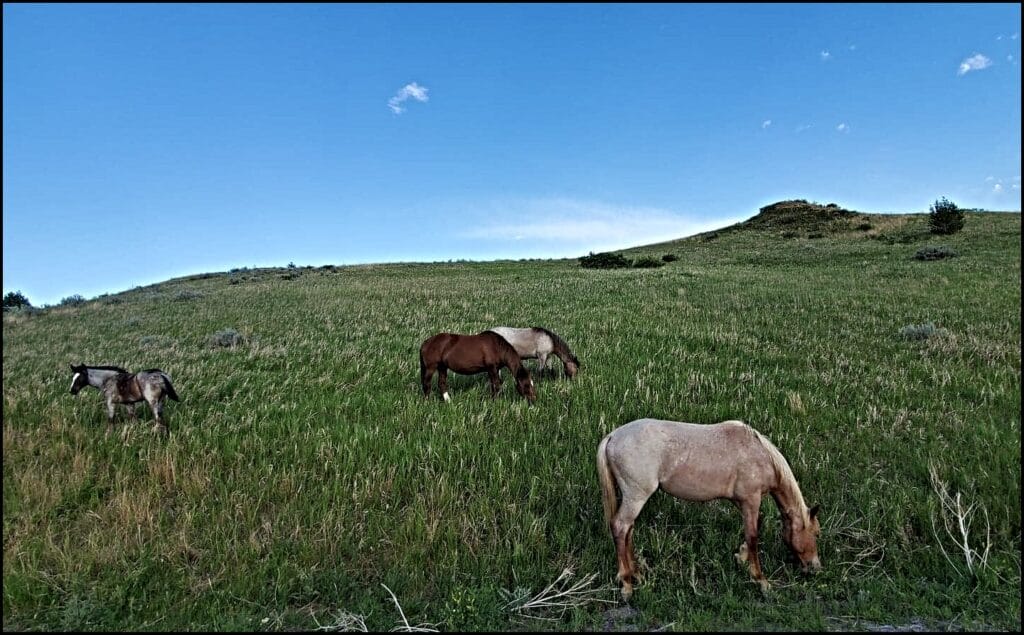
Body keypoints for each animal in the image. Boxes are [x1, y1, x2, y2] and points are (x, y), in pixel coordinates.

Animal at [593, 419, 823, 598]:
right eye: (816, 534)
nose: (814, 568)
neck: (760, 454)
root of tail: (612, 436)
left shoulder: (742, 501)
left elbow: (754, 527)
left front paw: (741, 557)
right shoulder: (751, 499)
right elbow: (753, 536)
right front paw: (761, 580)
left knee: (628, 530)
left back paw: (636, 574)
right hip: (636, 497)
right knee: (620, 527)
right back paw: (626, 584)